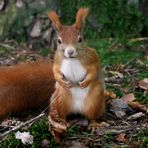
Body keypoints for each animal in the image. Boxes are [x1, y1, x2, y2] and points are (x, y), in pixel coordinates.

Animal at [48, 8, 104, 142]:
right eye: (59, 41)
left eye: (80, 39)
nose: (70, 51)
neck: (72, 59)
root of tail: (77, 109)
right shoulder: (57, 61)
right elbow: (55, 72)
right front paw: (62, 81)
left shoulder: (92, 58)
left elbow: (94, 70)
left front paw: (85, 82)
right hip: (61, 98)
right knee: (63, 114)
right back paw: (62, 122)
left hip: (94, 100)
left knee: (91, 116)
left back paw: (94, 124)